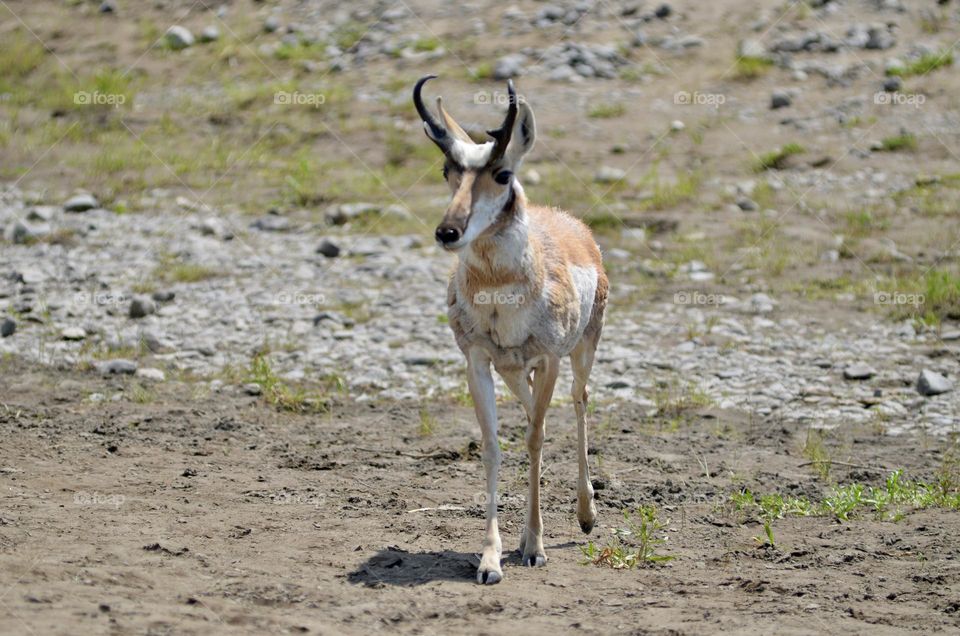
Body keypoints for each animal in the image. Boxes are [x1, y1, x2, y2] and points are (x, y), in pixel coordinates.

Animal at [413, 76, 608, 584]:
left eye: (502, 174)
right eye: (448, 170)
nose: (448, 231)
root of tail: (567, 221)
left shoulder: (550, 359)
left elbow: (536, 440)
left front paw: (535, 547)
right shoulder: (479, 363)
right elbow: (494, 447)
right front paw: (490, 559)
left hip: (580, 353)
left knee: (578, 402)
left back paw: (586, 515)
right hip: (514, 371)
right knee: (534, 410)